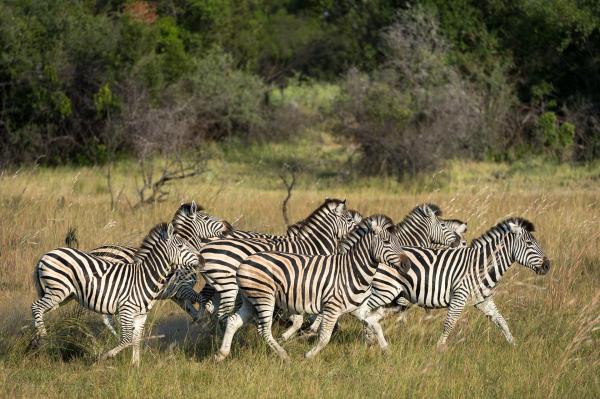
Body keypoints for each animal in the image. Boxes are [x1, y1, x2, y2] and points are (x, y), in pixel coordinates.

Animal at [31, 223, 199, 368]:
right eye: (181, 246)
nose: (200, 259)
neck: (145, 277)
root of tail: (46, 255)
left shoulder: (141, 314)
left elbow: (136, 339)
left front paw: (135, 365)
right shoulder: (126, 309)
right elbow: (127, 339)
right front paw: (105, 357)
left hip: (62, 296)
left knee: (39, 311)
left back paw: (36, 341)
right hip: (58, 290)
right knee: (36, 307)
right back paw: (44, 336)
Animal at [199, 198, 364, 324]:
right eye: (349, 219)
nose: (362, 232)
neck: (312, 244)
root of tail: (207, 245)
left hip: (217, 283)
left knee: (207, 302)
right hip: (228, 282)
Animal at [217, 216, 412, 362]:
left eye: (398, 242)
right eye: (386, 242)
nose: (408, 264)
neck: (353, 271)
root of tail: (245, 261)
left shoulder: (358, 309)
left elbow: (375, 324)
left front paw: (386, 350)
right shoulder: (332, 308)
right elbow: (324, 338)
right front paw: (307, 356)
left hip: (250, 299)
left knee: (233, 320)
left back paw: (221, 355)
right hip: (264, 298)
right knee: (263, 330)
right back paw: (284, 356)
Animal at [364, 219, 552, 350]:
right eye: (529, 243)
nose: (547, 265)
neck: (481, 267)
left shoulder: (483, 300)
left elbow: (502, 322)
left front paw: (515, 346)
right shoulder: (459, 297)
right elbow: (449, 324)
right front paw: (439, 348)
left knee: (372, 315)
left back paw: (371, 341)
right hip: (385, 290)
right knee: (364, 311)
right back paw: (369, 341)